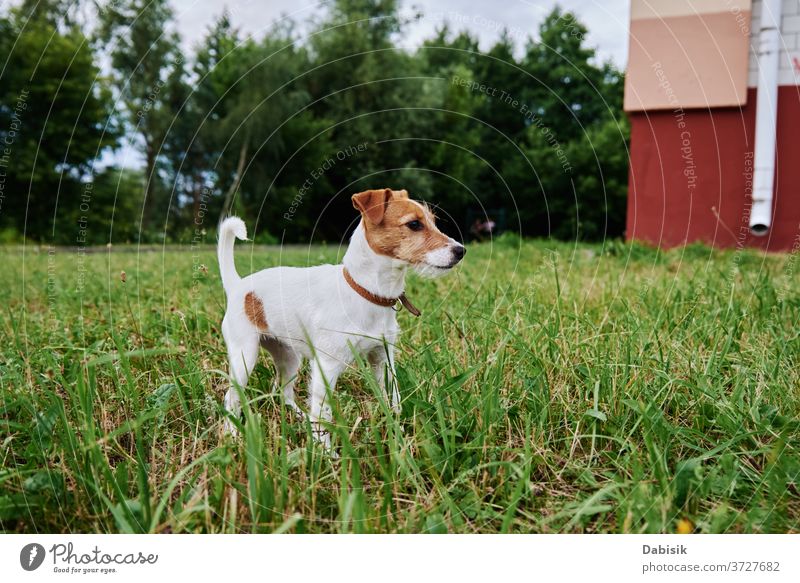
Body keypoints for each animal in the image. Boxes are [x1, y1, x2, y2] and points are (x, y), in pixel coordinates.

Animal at [219, 189, 466, 450]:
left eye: (434, 222)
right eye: (414, 224)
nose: (461, 250)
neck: (366, 292)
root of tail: (237, 286)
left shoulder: (383, 357)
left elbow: (393, 397)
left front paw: (398, 431)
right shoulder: (327, 366)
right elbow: (323, 414)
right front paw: (326, 453)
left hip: (289, 357)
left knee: (283, 392)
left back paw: (299, 416)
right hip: (244, 356)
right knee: (232, 396)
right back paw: (232, 434)